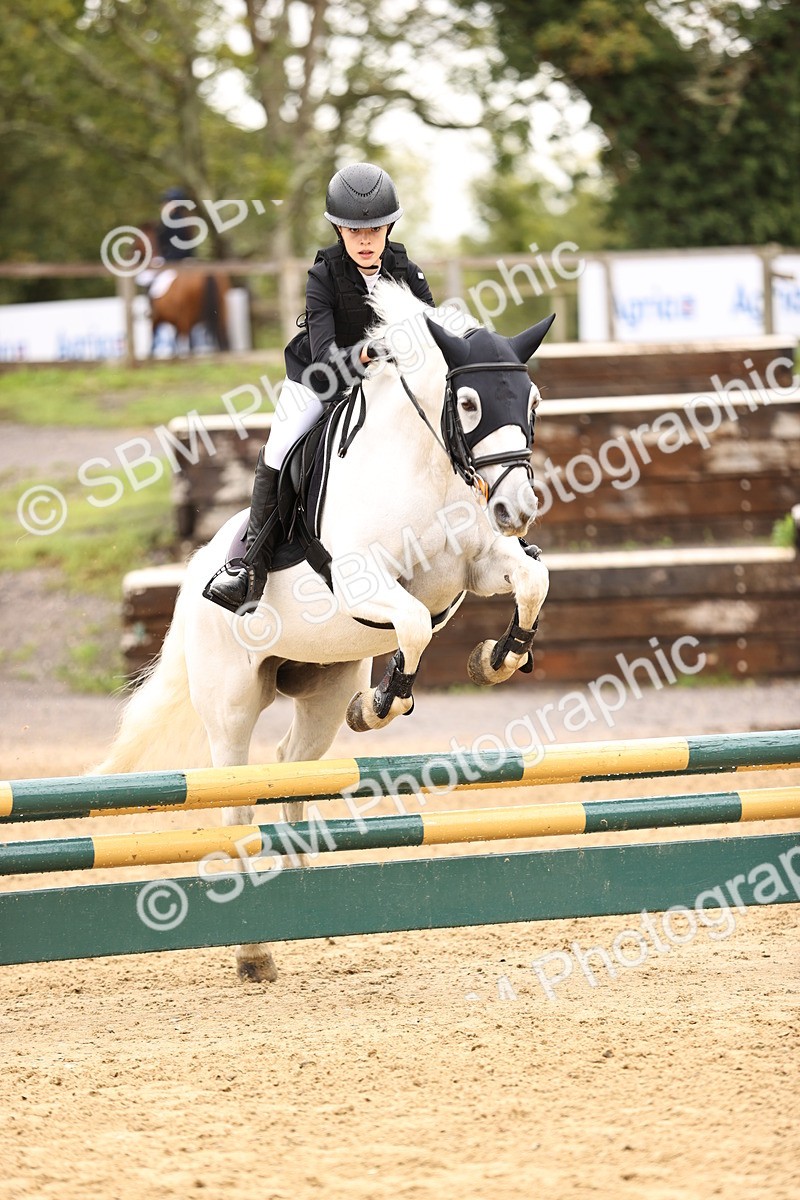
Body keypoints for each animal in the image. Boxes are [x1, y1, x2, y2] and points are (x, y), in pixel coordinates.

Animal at [95, 279, 554, 982]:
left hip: (322, 689)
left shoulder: (475, 565)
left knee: (291, 766)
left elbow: (532, 581)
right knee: (236, 794)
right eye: (471, 401)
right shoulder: (365, 581)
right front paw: (386, 701)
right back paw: (253, 949)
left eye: (531, 401)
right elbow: (414, 624)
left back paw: (302, 893)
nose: (518, 508)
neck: (422, 465)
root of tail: (193, 575)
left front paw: (499, 657)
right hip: (231, 703)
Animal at [135, 222, 230, 355]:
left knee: (188, 346)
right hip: (220, 315)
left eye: (137, 239)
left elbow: (152, 344)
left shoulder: (156, 320)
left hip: (186, 319)